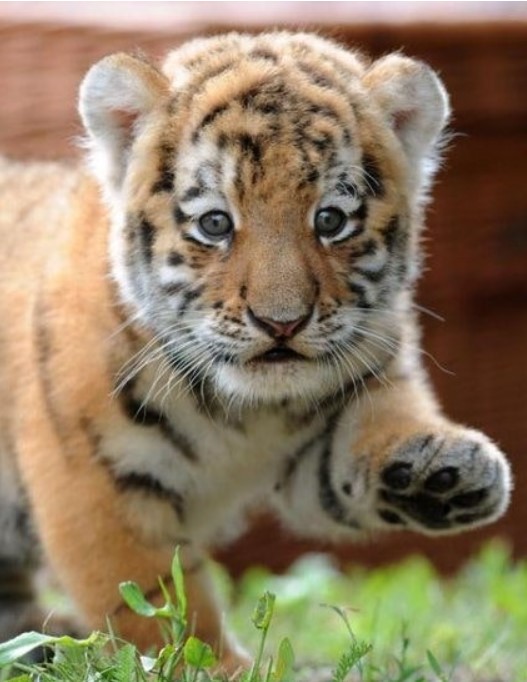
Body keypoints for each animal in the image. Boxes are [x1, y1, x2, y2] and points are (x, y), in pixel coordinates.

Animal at [0, 31, 512, 674]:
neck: (246, 410)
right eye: (216, 224)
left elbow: (376, 427)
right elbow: (155, 598)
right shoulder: (92, 479)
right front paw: (214, 668)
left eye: (331, 220)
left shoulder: (341, 407)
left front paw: (444, 471)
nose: (282, 323)